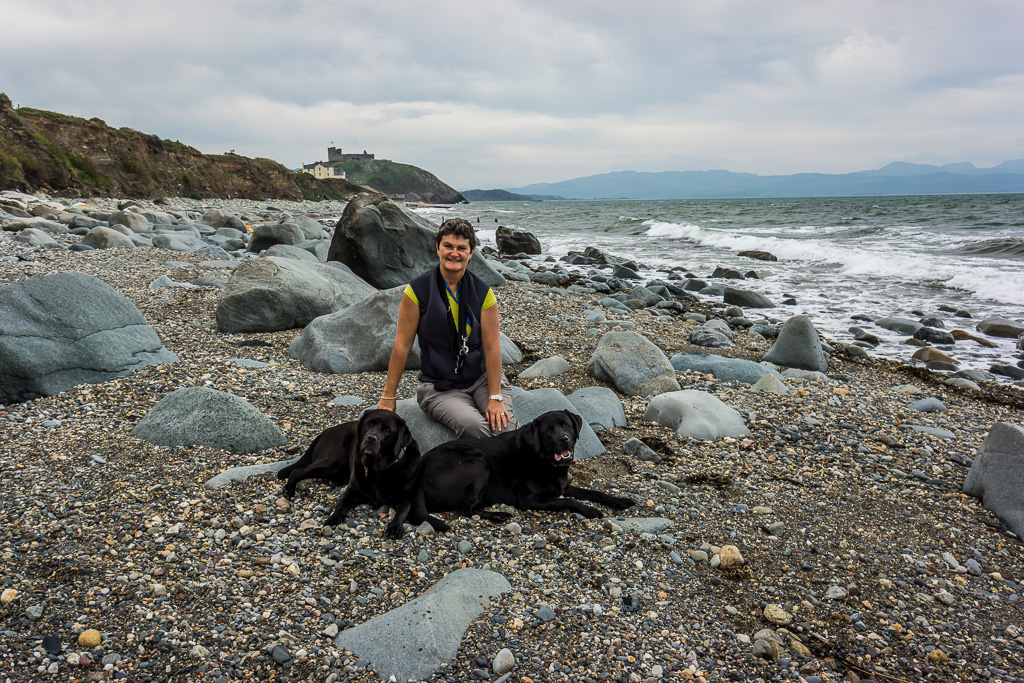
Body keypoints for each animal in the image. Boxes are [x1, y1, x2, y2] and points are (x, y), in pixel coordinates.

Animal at [276, 411, 419, 540]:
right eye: (369, 424)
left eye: (388, 430)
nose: (371, 438)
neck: (377, 471)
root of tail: (326, 431)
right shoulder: (352, 490)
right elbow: (342, 503)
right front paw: (334, 517)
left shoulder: (404, 498)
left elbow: (403, 510)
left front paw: (394, 527)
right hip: (333, 462)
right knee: (296, 471)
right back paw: (289, 489)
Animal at [407, 409, 630, 532]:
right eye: (549, 431)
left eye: (566, 425)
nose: (564, 439)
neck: (544, 461)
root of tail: (420, 467)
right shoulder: (531, 501)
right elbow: (569, 501)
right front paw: (590, 510)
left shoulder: (564, 486)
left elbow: (595, 492)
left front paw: (621, 500)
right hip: (478, 464)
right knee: (466, 509)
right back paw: (498, 515)